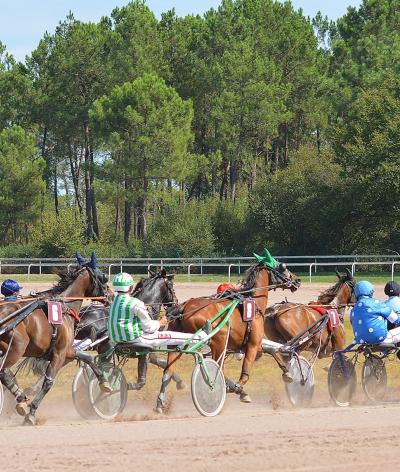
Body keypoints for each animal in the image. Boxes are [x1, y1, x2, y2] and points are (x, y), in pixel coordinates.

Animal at [0, 262, 108, 424]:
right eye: (103, 277)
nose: (110, 294)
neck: (64, 308)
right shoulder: (59, 353)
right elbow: (48, 382)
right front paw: (31, 412)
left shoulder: (67, 351)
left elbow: (87, 357)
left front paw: (104, 382)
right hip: (16, 348)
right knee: (4, 372)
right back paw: (21, 400)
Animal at [156, 260, 300, 412]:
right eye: (282, 267)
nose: (297, 280)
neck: (253, 302)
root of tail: (184, 307)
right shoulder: (252, 345)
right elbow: (245, 372)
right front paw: (239, 389)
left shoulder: (251, 344)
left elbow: (271, 350)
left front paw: (287, 373)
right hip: (219, 339)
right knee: (218, 367)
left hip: (176, 344)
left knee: (168, 371)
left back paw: (160, 402)